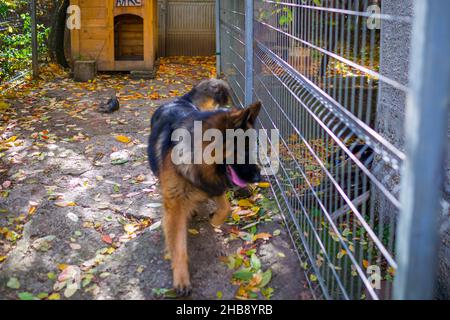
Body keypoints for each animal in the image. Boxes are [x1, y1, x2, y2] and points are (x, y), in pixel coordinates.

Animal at [148, 79, 262, 296]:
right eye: (244, 151)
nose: (259, 177)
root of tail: (179, 99)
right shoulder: (175, 205)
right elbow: (178, 245)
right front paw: (181, 279)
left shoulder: (211, 183)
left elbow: (225, 208)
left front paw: (214, 219)